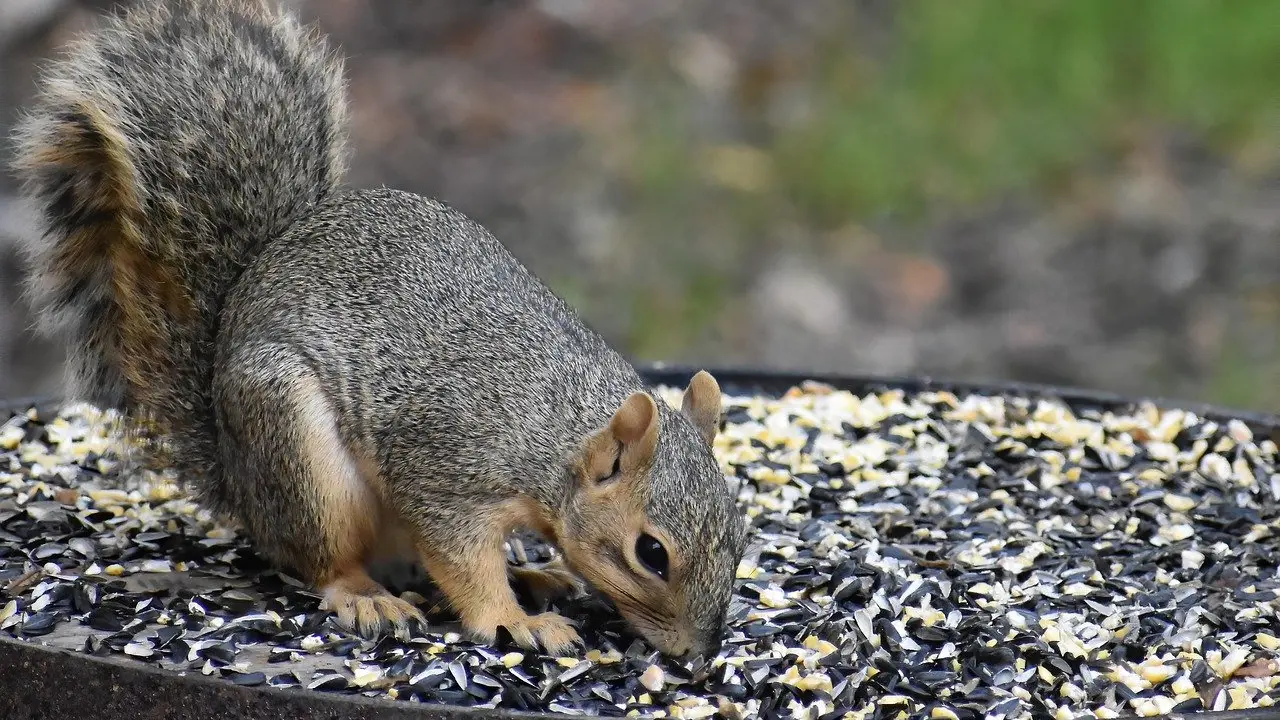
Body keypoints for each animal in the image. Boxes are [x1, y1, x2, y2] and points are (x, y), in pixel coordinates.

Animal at [10, 0, 747, 661]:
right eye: (650, 553)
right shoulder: (446, 475)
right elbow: (461, 561)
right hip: (299, 452)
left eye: (740, 534)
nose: (698, 655)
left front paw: (527, 587)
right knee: (325, 559)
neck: (554, 434)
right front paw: (513, 621)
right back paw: (368, 596)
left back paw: (533, 573)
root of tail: (238, 479)